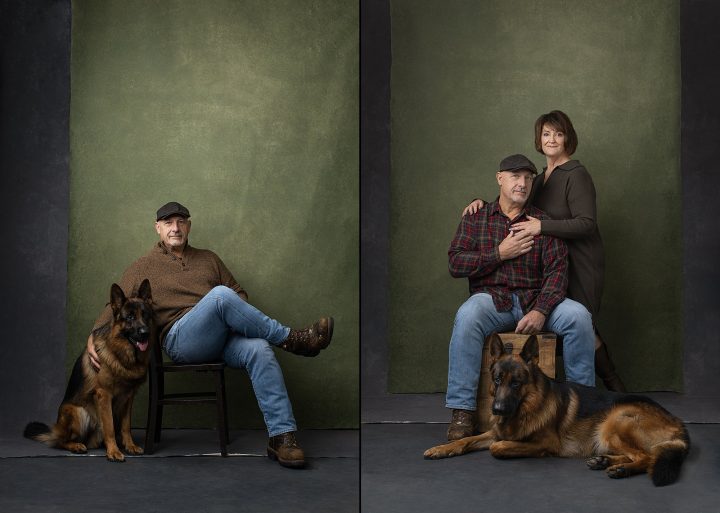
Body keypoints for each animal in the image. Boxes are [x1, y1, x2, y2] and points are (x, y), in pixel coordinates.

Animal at [25, 278, 153, 462]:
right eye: (129, 317)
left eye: (145, 315)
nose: (145, 333)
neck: (122, 354)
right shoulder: (104, 395)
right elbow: (110, 427)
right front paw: (114, 451)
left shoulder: (128, 397)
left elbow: (126, 426)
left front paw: (130, 445)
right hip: (78, 413)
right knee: (61, 442)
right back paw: (76, 446)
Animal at [424, 334, 688, 486]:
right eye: (497, 380)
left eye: (516, 383)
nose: (498, 409)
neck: (526, 407)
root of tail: (679, 423)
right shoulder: (494, 432)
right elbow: (466, 441)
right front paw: (441, 448)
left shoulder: (544, 443)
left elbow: (498, 448)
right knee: (642, 455)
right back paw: (604, 461)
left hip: (614, 423)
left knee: (646, 457)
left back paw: (622, 469)